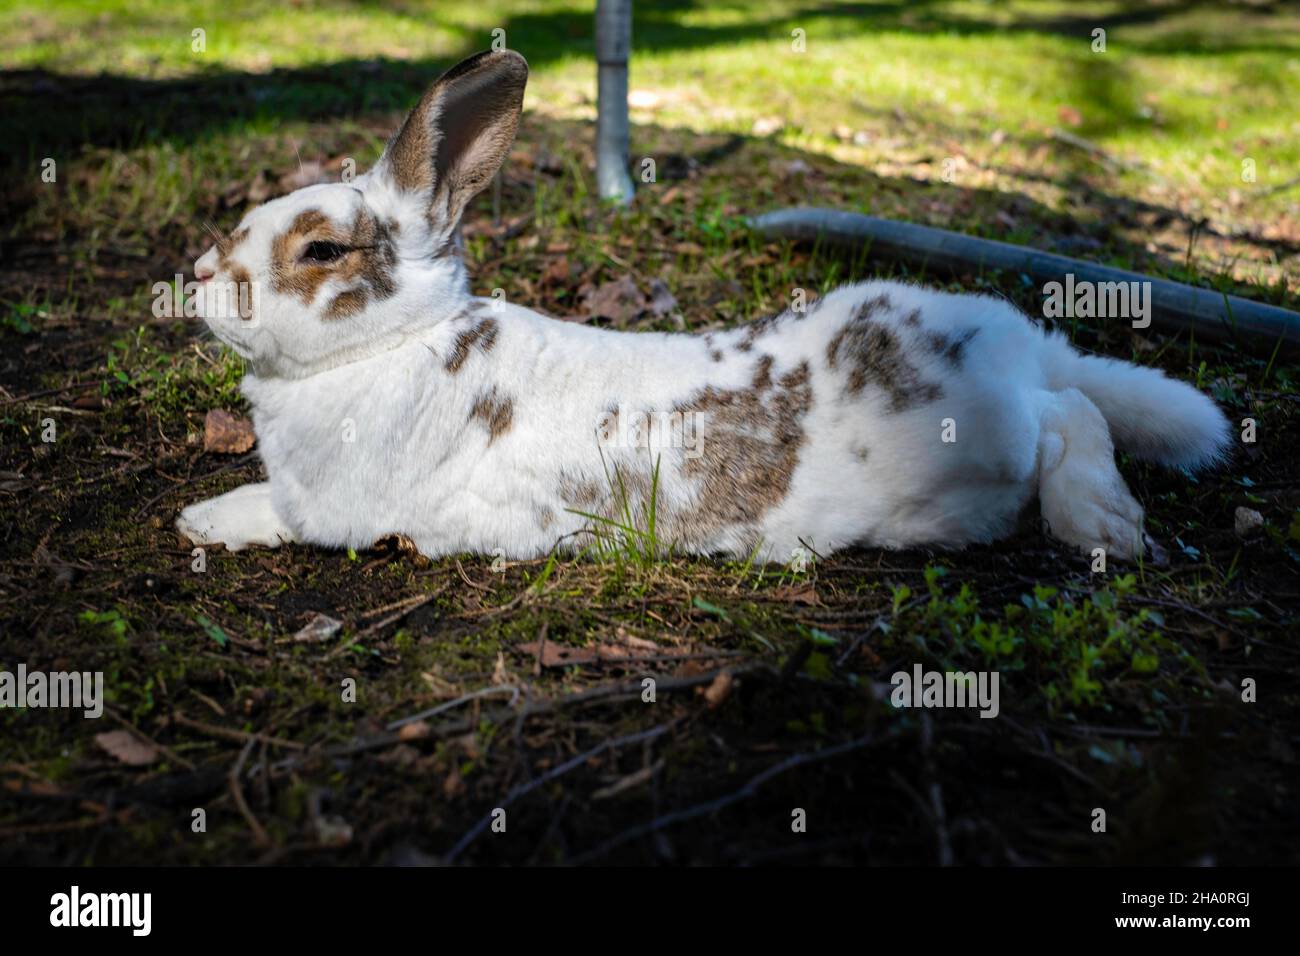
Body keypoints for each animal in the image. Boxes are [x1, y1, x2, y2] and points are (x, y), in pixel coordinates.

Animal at [177, 48, 1231, 567]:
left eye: (320, 250)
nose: (199, 274)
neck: (393, 344)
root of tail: (1012, 341)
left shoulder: (337, 512)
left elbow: (274, 514)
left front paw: (201, 522)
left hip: (994, 435)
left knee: (1073, 414)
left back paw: (1103, 528)